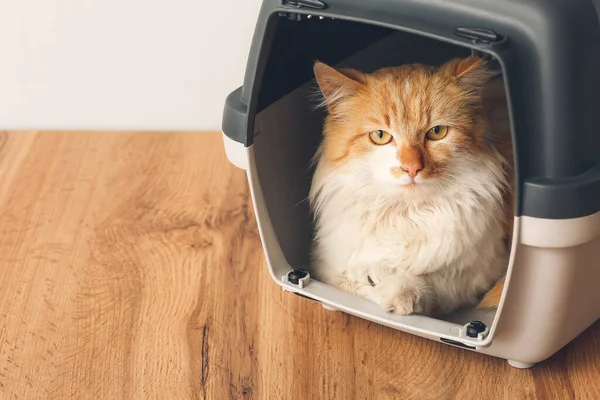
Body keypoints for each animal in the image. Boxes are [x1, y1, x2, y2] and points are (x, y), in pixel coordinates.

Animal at [310, 55, 510, 316]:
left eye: (437, 132)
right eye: (380, 136)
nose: (411, 168)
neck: (406, 213)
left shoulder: (480, 270)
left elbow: (432, 280)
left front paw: (398, 294)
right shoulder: (327, 263)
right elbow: (352, 278)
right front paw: (374, 279)